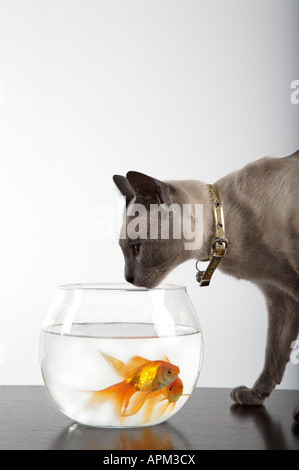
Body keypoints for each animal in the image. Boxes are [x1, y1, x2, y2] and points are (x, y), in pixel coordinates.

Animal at [113, 151, 299, 422]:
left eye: (137, 248)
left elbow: (277, 350)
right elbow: (273, 351)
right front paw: (255, 395)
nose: (127, 278)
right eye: (122, 250)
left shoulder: (289, 289)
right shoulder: (279, 295)